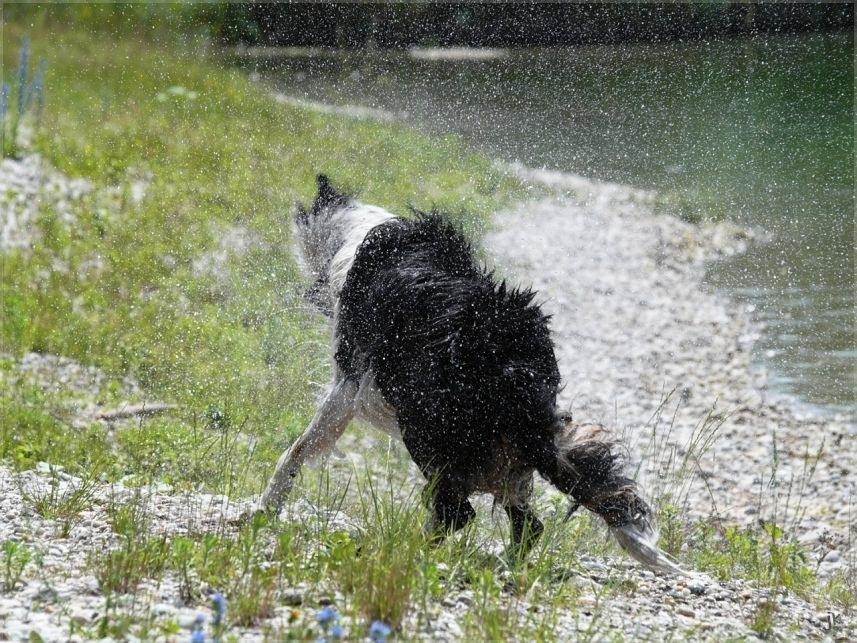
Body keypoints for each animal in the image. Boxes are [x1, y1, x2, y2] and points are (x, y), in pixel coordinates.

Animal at [251, 176, 680, 572]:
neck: (356, 235)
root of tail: (517, 368)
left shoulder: (350, 386)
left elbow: (297, 450)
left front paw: (265, 507)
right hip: (507, 453)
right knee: (528, 524)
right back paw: (503, 563)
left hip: (425, 431)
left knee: (458, 514)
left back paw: (404, 552)